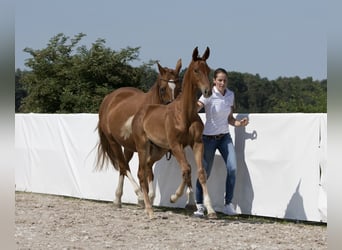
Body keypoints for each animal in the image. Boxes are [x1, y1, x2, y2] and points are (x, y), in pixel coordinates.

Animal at [95, 58, 183, 207]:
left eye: (179, 88)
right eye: (162, 89)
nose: (172, 109)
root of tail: (109, 98)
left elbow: (148, 171)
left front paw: (150, 197)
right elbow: (143, 171)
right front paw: (145, 197)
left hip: (128, 147)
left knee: (123, 167)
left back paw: (119, 198)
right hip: (114, 143)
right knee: (124, 166)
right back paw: (137, 195)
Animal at [133, 47, 216, 219]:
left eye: (208, 69)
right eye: (196, 70)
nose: (207, 91)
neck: (184, 114)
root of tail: (140, 113)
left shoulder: (196, 143)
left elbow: (199, 172)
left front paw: (210, 209)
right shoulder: (175, 145)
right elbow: (187, 169)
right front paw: (175, 197)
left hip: (158, 149)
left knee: (148, 167)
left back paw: (148, 202)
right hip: (142, 146)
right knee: (141, 173)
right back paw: (149, 209)